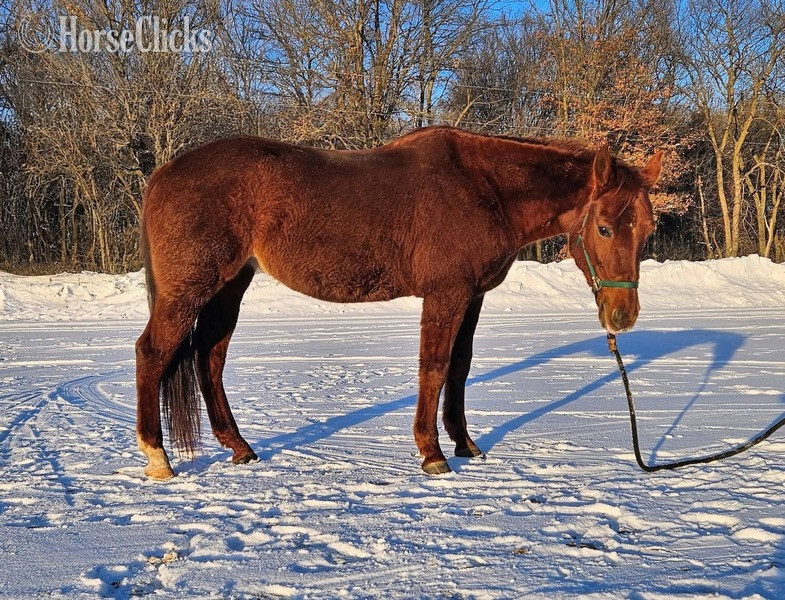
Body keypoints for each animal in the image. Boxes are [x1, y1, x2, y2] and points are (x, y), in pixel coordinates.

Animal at [135, 126, 662, 480]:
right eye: (604, 228)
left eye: (648, 230)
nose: (623, 317)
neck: (483, 187)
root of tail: (163, 174)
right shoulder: (446, 294)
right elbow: (434, 366)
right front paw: (433, 453)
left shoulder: (471, 297)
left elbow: (459, 367)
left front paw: (465, 443)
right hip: (191, 290)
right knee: (153, 353)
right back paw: (158, 458)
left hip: (230, 286)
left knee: (210, 357)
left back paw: (239, 447)